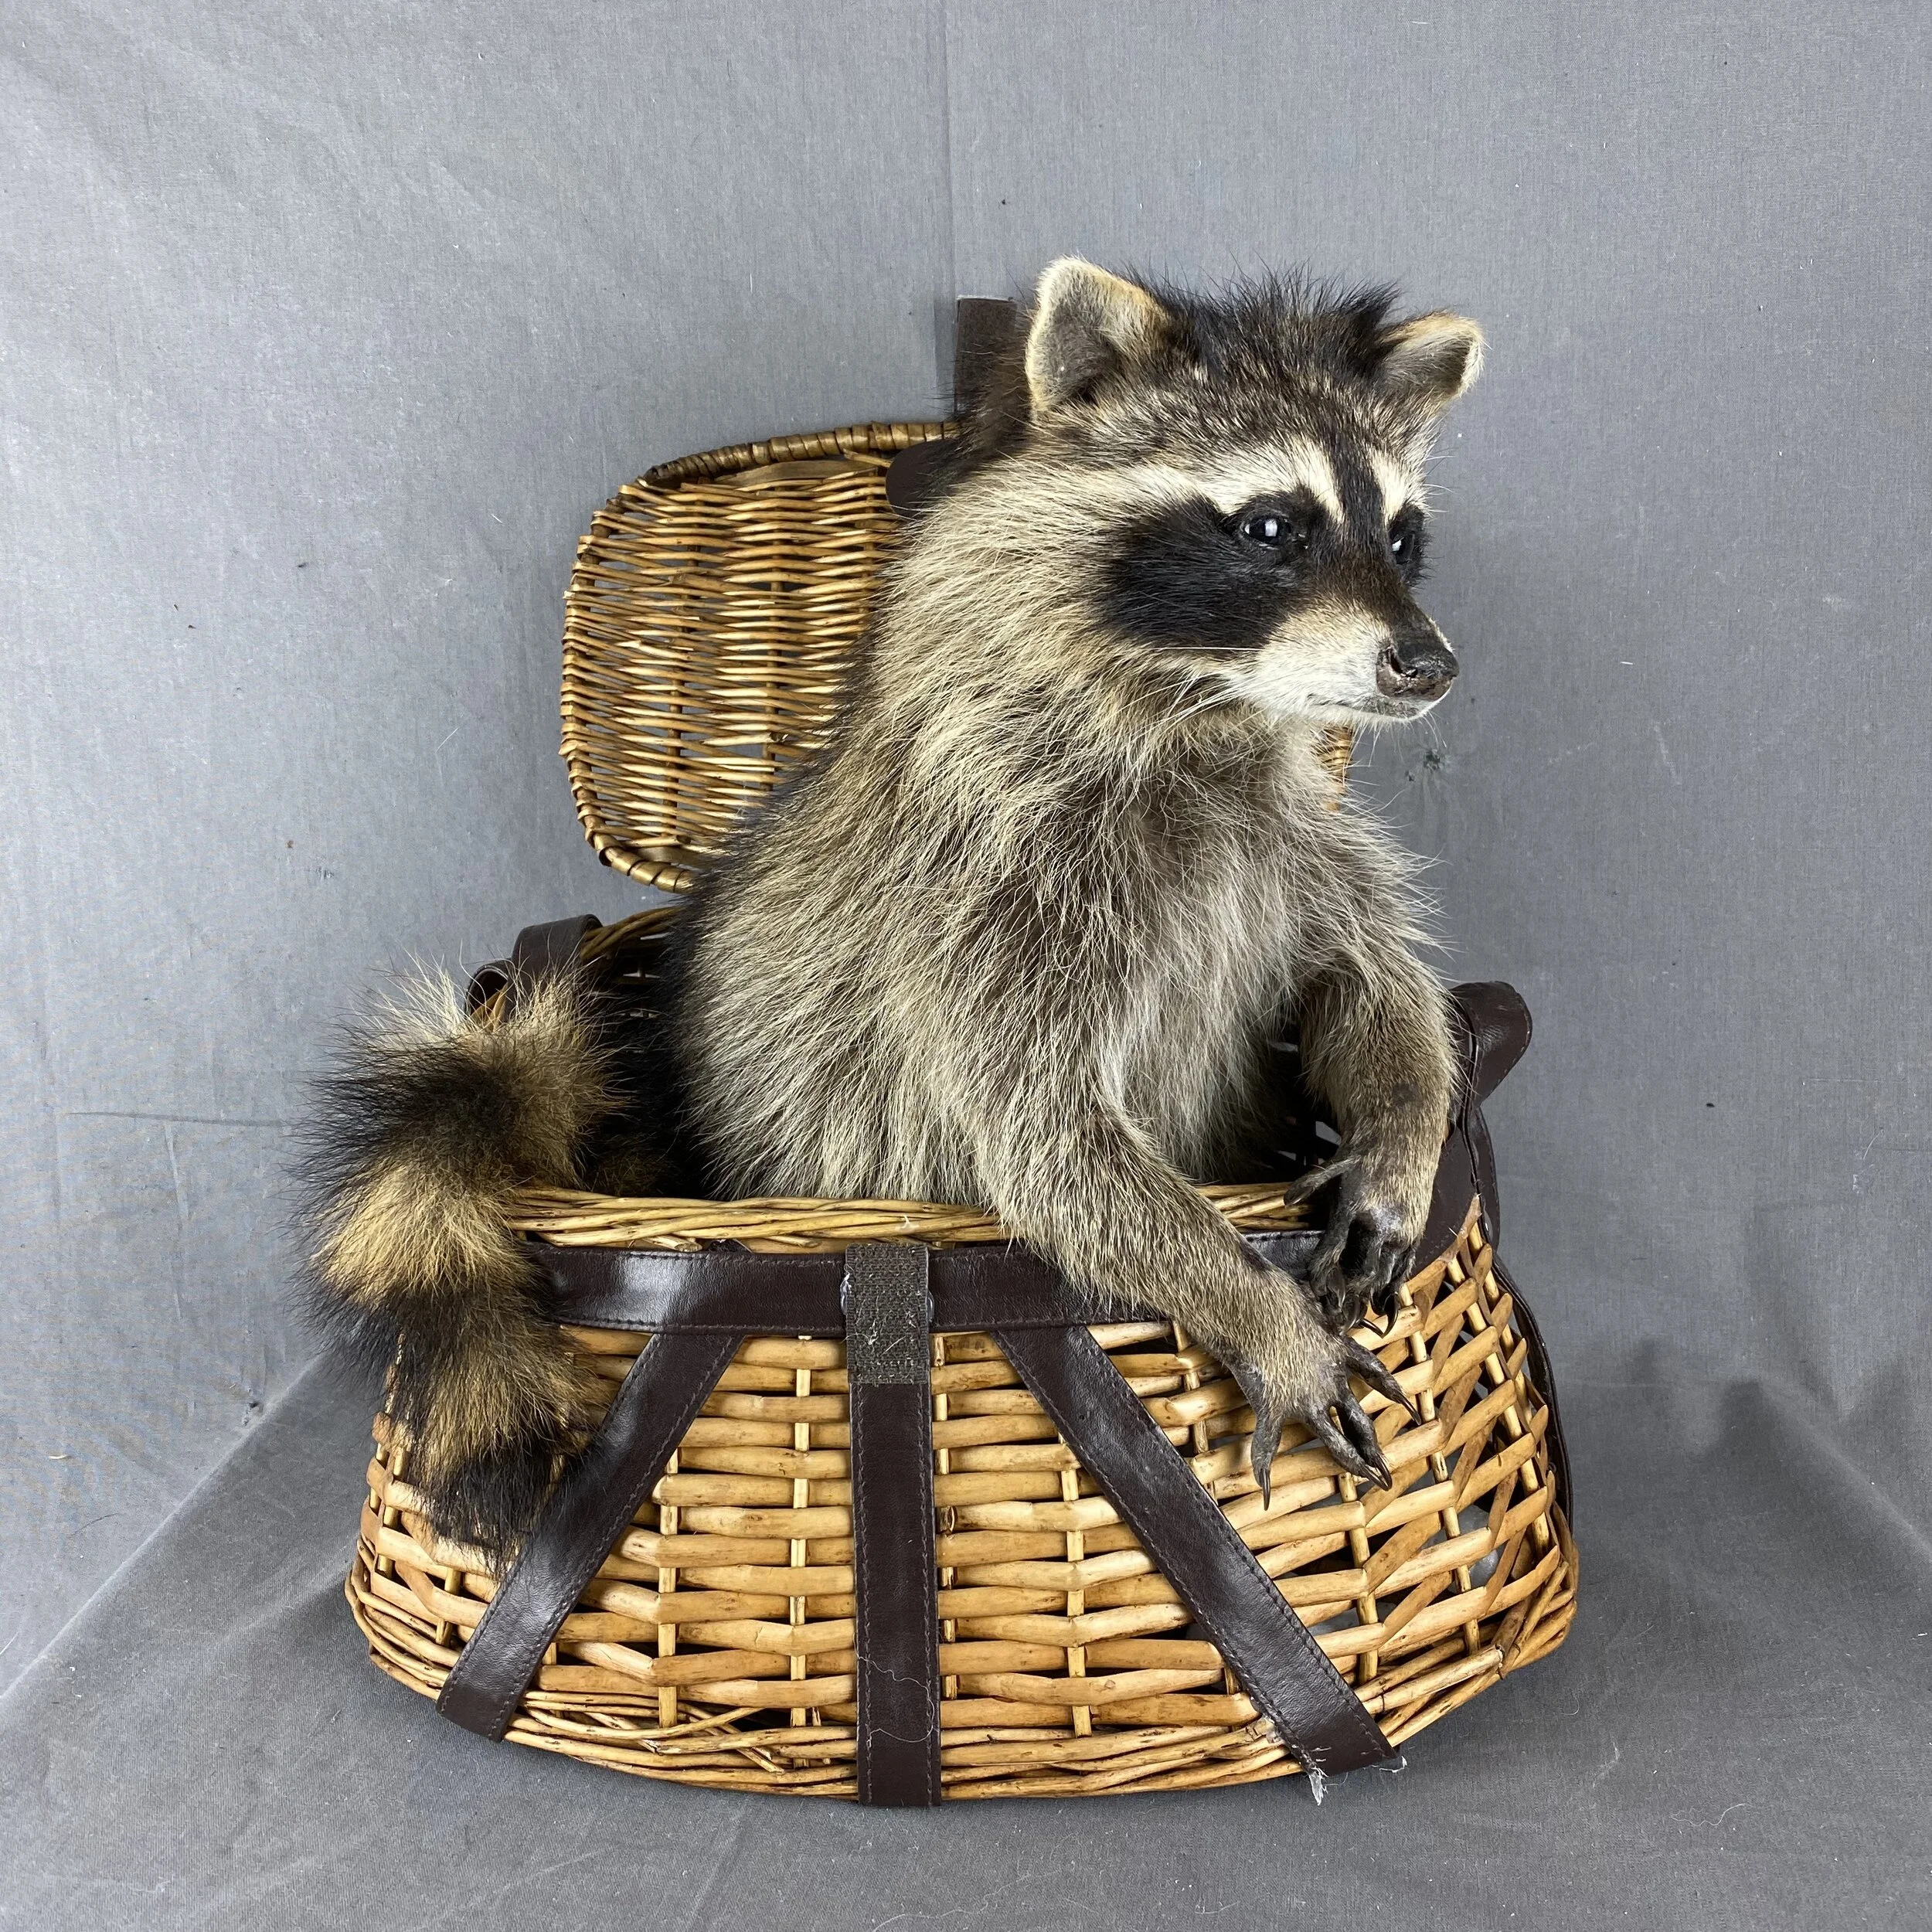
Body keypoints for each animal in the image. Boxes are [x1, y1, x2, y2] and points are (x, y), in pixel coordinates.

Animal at [303, 259, 1483, 1555]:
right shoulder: (988, 882)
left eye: (1402, 533)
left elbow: (1377, 984)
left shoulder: (1297, 840)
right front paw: (1247, 1300)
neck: (1206, 705)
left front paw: (1402, 1135)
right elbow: (1048, 1143)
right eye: (1273, 525)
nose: (1429, 665)